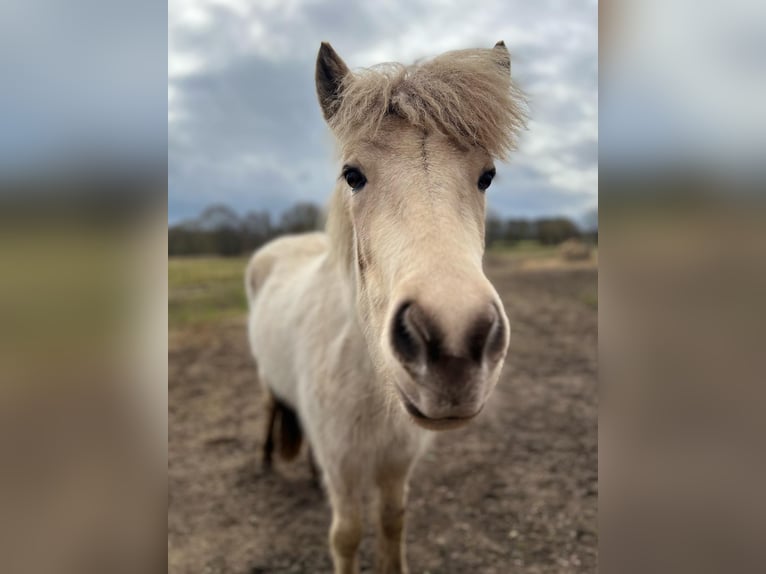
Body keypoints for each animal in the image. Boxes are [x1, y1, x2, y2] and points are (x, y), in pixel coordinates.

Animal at [246, 40, 526, 574]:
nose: (455, 342)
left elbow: (393, 523)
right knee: (271, 407)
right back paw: (267, 459)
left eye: (487, 176)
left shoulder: (396, 464)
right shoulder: (344, 466)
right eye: (352, 175)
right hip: (269, 381)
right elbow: (347, 535)